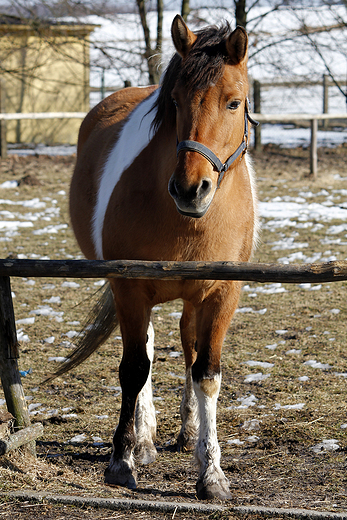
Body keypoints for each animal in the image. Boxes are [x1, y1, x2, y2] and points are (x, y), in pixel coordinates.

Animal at [67, 15, 258, 500]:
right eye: (174, 101)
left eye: (234, 102)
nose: (190, 189)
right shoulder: (130, 287)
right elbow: (135, 368)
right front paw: (122, 459)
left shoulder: (222, 294)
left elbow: (206, 373)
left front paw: (211, 472)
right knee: (148, 349)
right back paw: (145, 438)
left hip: (191, 298)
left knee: (188, 345)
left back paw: (187, 434)